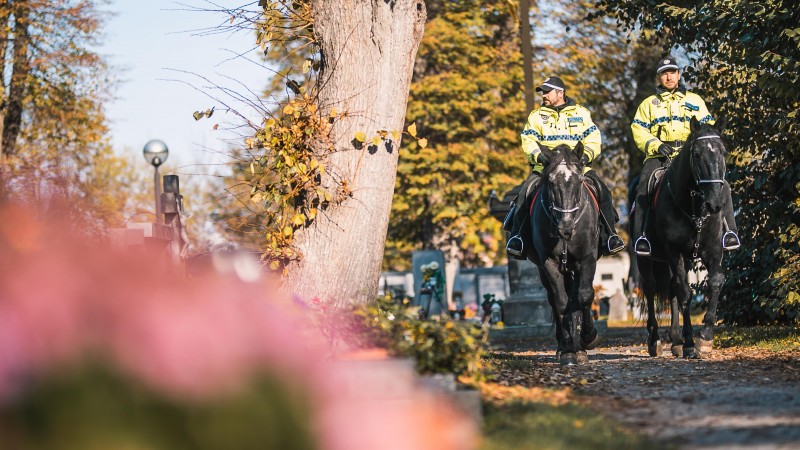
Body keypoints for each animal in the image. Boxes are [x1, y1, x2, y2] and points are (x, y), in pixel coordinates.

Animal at [528, 143, 596, 366]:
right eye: (551, 182)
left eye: (579, 180)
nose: (566, 228)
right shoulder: (548, 262)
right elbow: (561, 302)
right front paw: (567, 350)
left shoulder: (587, 257)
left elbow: (584, 295)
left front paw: (588, 338)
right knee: (556, 299)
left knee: (577, 296)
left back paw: (581, 347)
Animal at [632, 116, 732, 358]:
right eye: (696, 153)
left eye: (723, 152)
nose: (716, 203)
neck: (693, 206)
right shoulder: (673, 250)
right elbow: (685, 292)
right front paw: (689, 343)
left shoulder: (712, 249)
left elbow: (715, 281)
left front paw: (705, 337)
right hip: (646, 259)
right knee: (652, 289)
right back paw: (656, 340)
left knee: (672, 289)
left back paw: (675, 340)